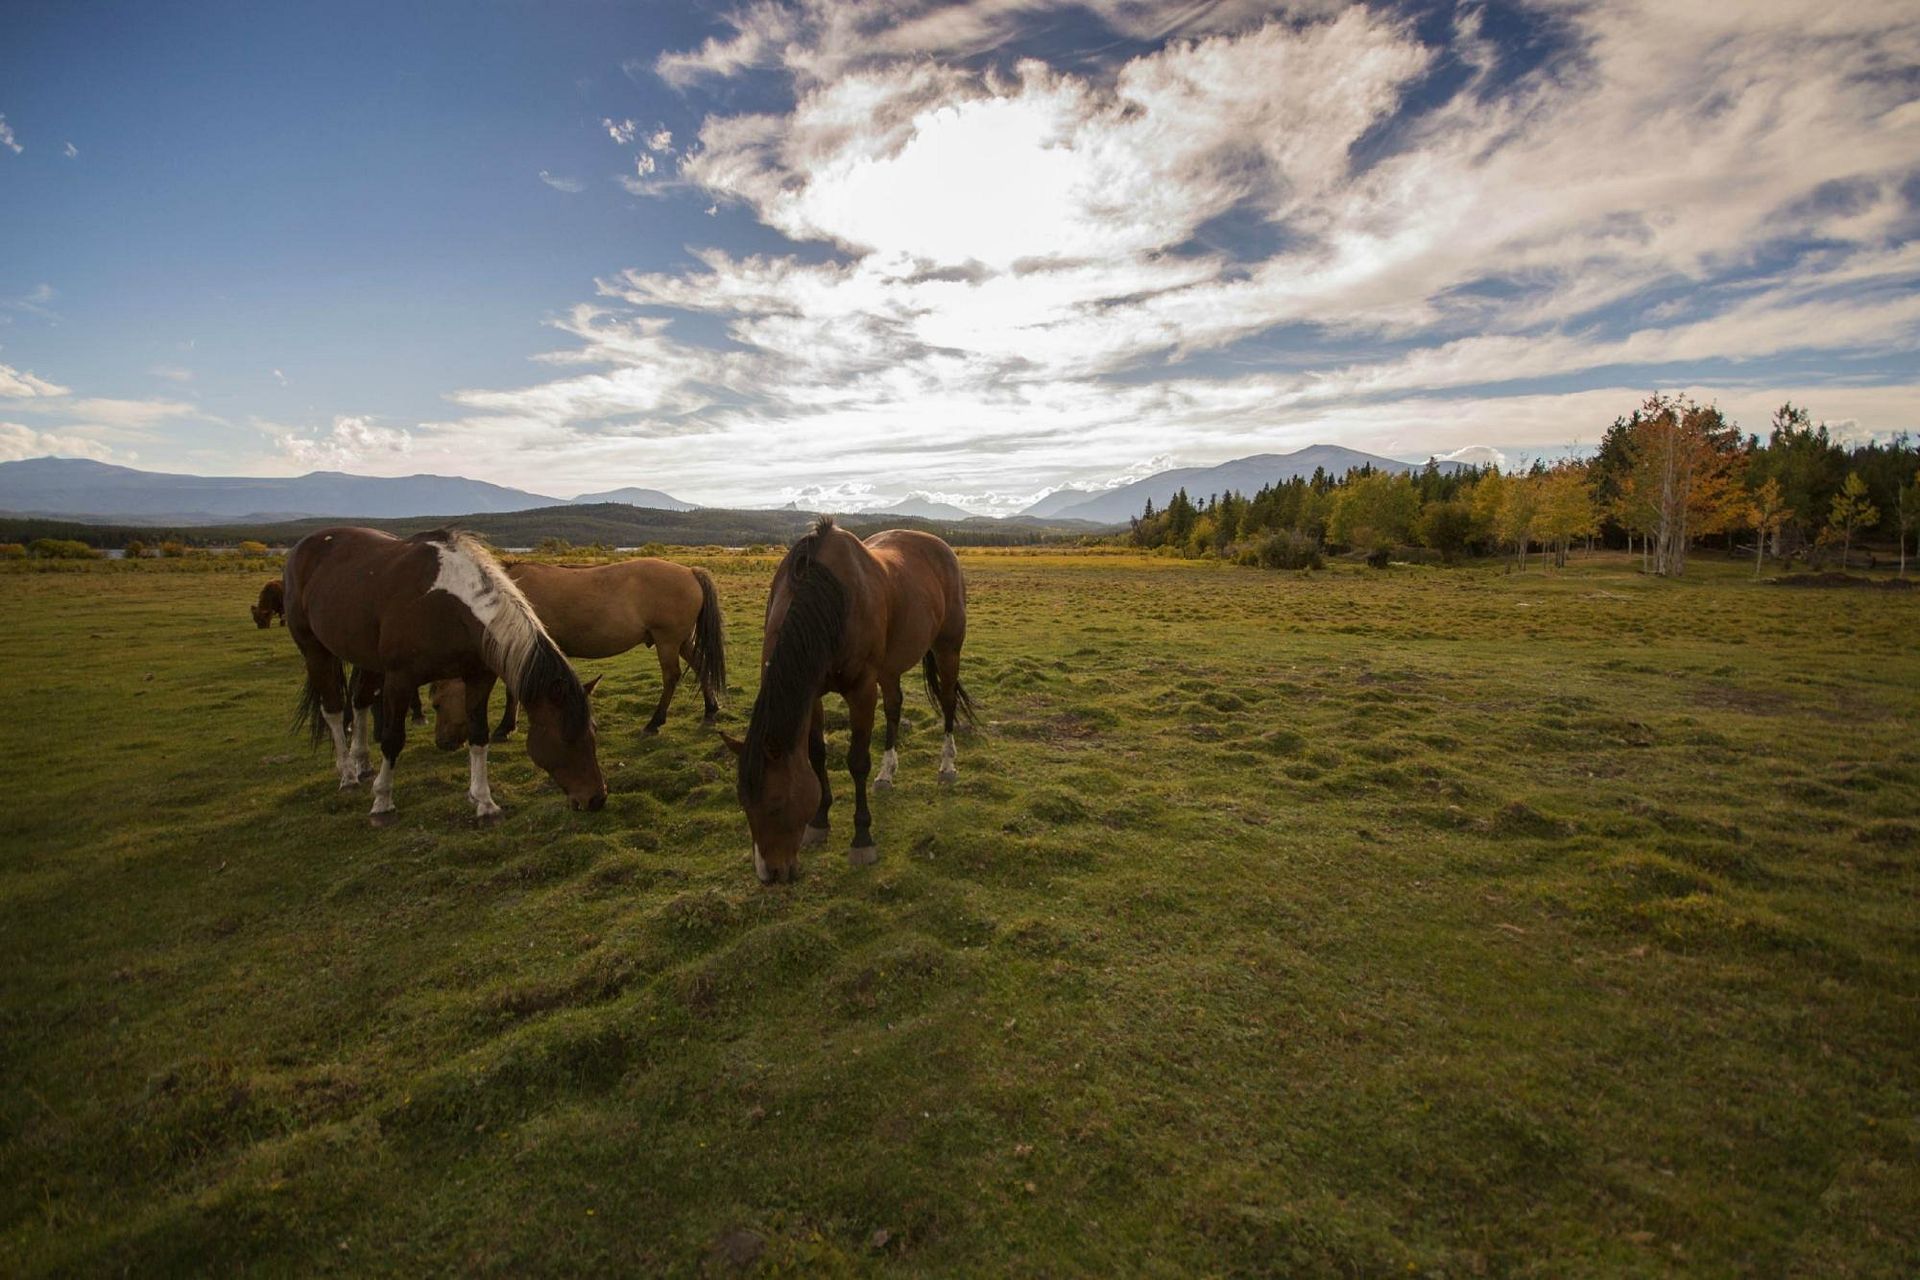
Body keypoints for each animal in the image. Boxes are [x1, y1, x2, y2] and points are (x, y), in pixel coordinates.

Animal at [285, 527, 606, 824]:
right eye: (566, 737)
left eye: (593, 731)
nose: (596, 799)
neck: (445, 603)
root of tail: (305, 545)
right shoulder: (400, 680)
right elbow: (393, 739)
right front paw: (382, 801)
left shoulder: (479, 677)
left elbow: (478, 735)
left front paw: (485, 802)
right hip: (314, 648)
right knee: (334, 710)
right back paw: (348, 774)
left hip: (367, 658)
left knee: (360, 701)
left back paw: (361, 762)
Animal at [427, 556, 726, 742]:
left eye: (437, 703)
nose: (443, 743)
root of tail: (690, 572)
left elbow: (514, 690)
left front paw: (506, 727)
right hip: (681, 640)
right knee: (700, 665)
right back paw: (710, 710)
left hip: (668, 641)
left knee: (671, 677)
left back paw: (655, 722)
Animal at [722, 516, 971, 884]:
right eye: (743, 803)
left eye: (777, 804)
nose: (770, 874)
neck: (830, 601)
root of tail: (943, 548)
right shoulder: (813, 694)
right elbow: (816, 754)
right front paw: (819, 821)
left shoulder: (862, 690)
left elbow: (857, 762)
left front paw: (862, 839)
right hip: (891, 667)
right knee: (894, 707)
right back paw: (887, 774)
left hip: (947, 649)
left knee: (948, 701)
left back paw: (947, 766)